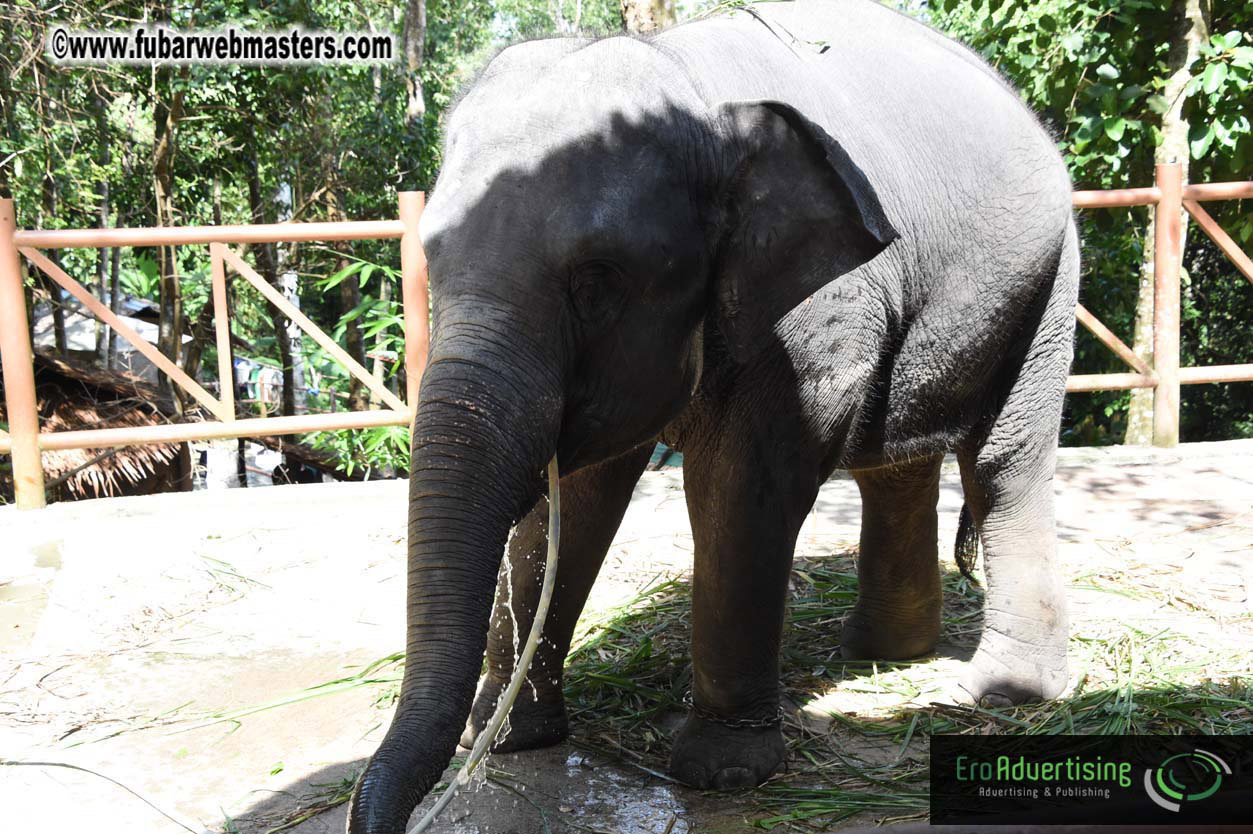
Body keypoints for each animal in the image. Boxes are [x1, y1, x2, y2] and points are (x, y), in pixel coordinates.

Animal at [348, 1, 1078, 830]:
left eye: (596, 280)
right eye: (430, 260)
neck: (692, 90)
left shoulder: (813, 309)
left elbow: (740, 486)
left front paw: (721, 773)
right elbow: (579, 499)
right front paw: (507, 738)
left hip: (1048, 277)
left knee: (1002, 463)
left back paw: (999, 691)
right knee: (894, 468)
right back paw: (880, 655)